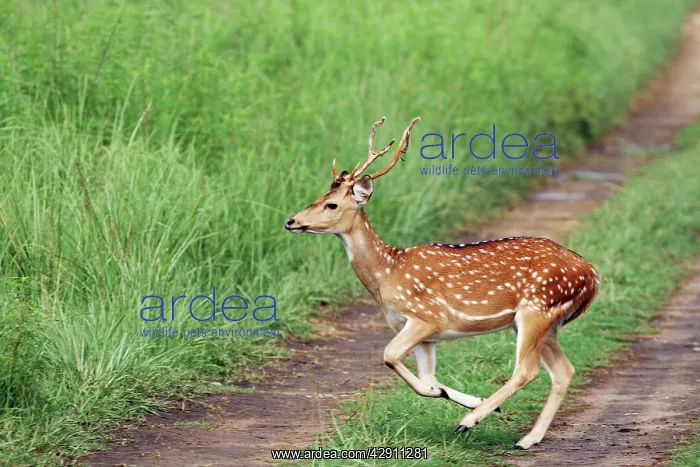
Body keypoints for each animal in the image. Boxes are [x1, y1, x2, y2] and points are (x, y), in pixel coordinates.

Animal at [284, 116, 600, 450]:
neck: (388, 273)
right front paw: (464, 397)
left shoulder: (426, 317)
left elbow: (390, 356)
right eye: (316, 198)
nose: (291, 221)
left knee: (527, 370)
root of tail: (592, 274)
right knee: (564, 371)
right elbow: (427, 381)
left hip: (537, 308)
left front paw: (471, 406)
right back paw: (527, 438)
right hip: (548, 321)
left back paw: (469, 423)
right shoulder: (427, 337)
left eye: (331, 205)